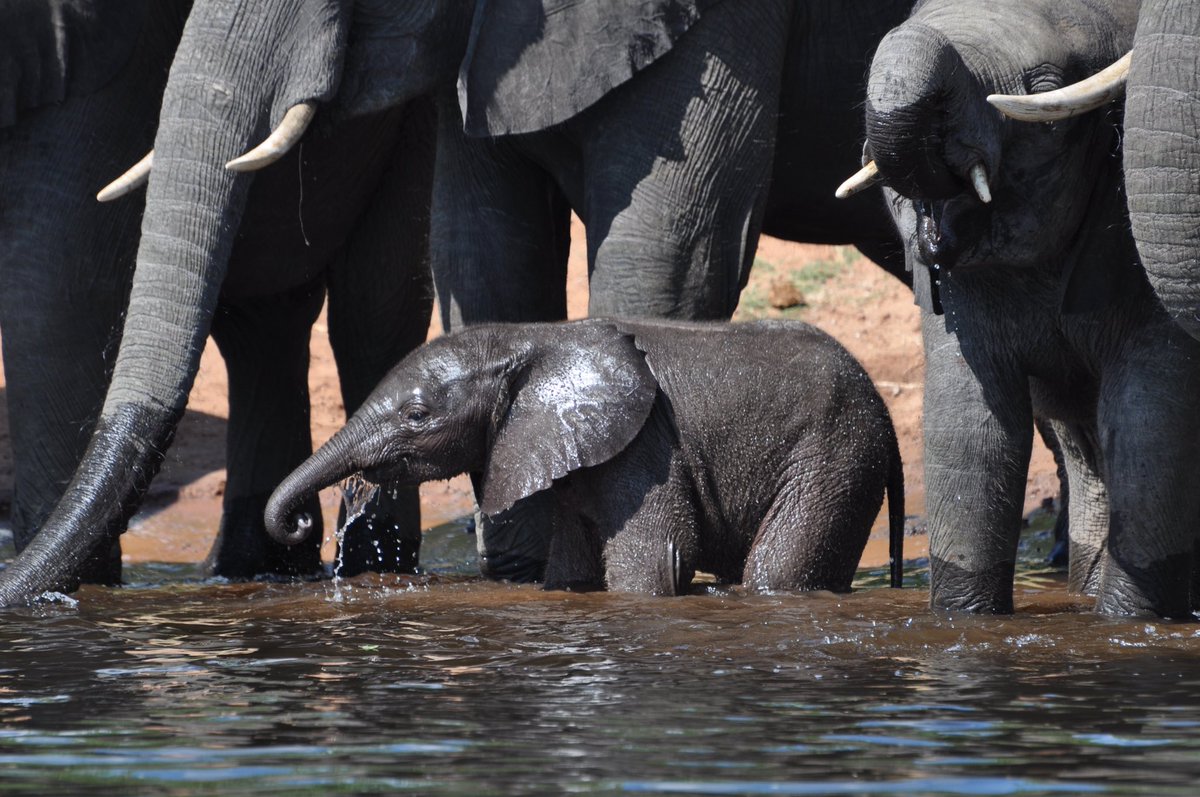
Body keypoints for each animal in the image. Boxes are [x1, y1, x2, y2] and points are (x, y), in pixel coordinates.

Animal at [263, 319, 906, 595]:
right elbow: (571, 567)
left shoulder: (647, 448)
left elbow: (657, 561)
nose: (299, 522)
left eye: (417, 415)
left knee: (776, 571)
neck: (527, 338)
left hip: (834, 455)